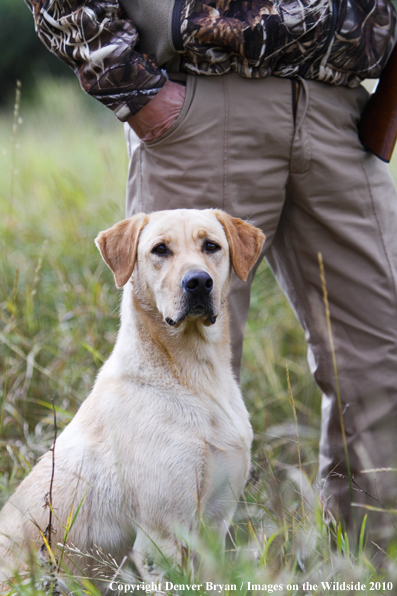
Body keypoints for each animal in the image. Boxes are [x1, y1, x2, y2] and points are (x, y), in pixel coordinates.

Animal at [0, 208, 264, 584]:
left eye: (211, 246)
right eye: (160, 249)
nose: (199, 282)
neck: (196, 377)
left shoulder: (215, 523)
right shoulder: (162, 537)